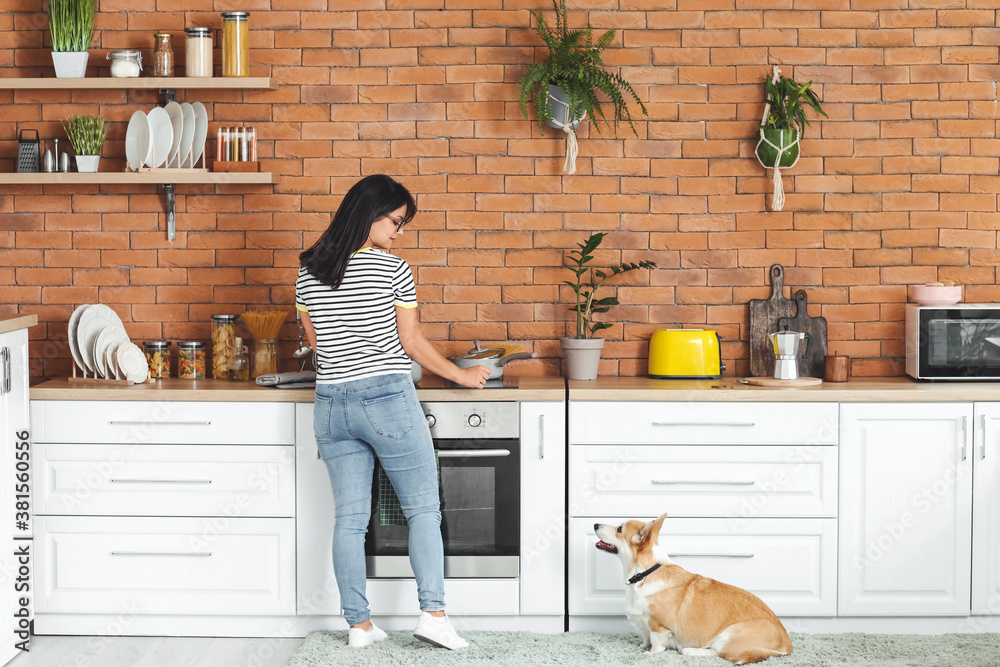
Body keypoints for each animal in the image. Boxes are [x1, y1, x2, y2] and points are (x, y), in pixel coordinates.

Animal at [592, 512, 796, 664]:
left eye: (619, 529)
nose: (594, 524)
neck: (644, 574)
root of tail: (787, 642)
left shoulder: (659, 626)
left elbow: (656, 644)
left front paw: (649, 654)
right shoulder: (644, 626)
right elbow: (645, 637)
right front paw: (642, 647)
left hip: (727, 636)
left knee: (720, 653)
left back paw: (691, 652)